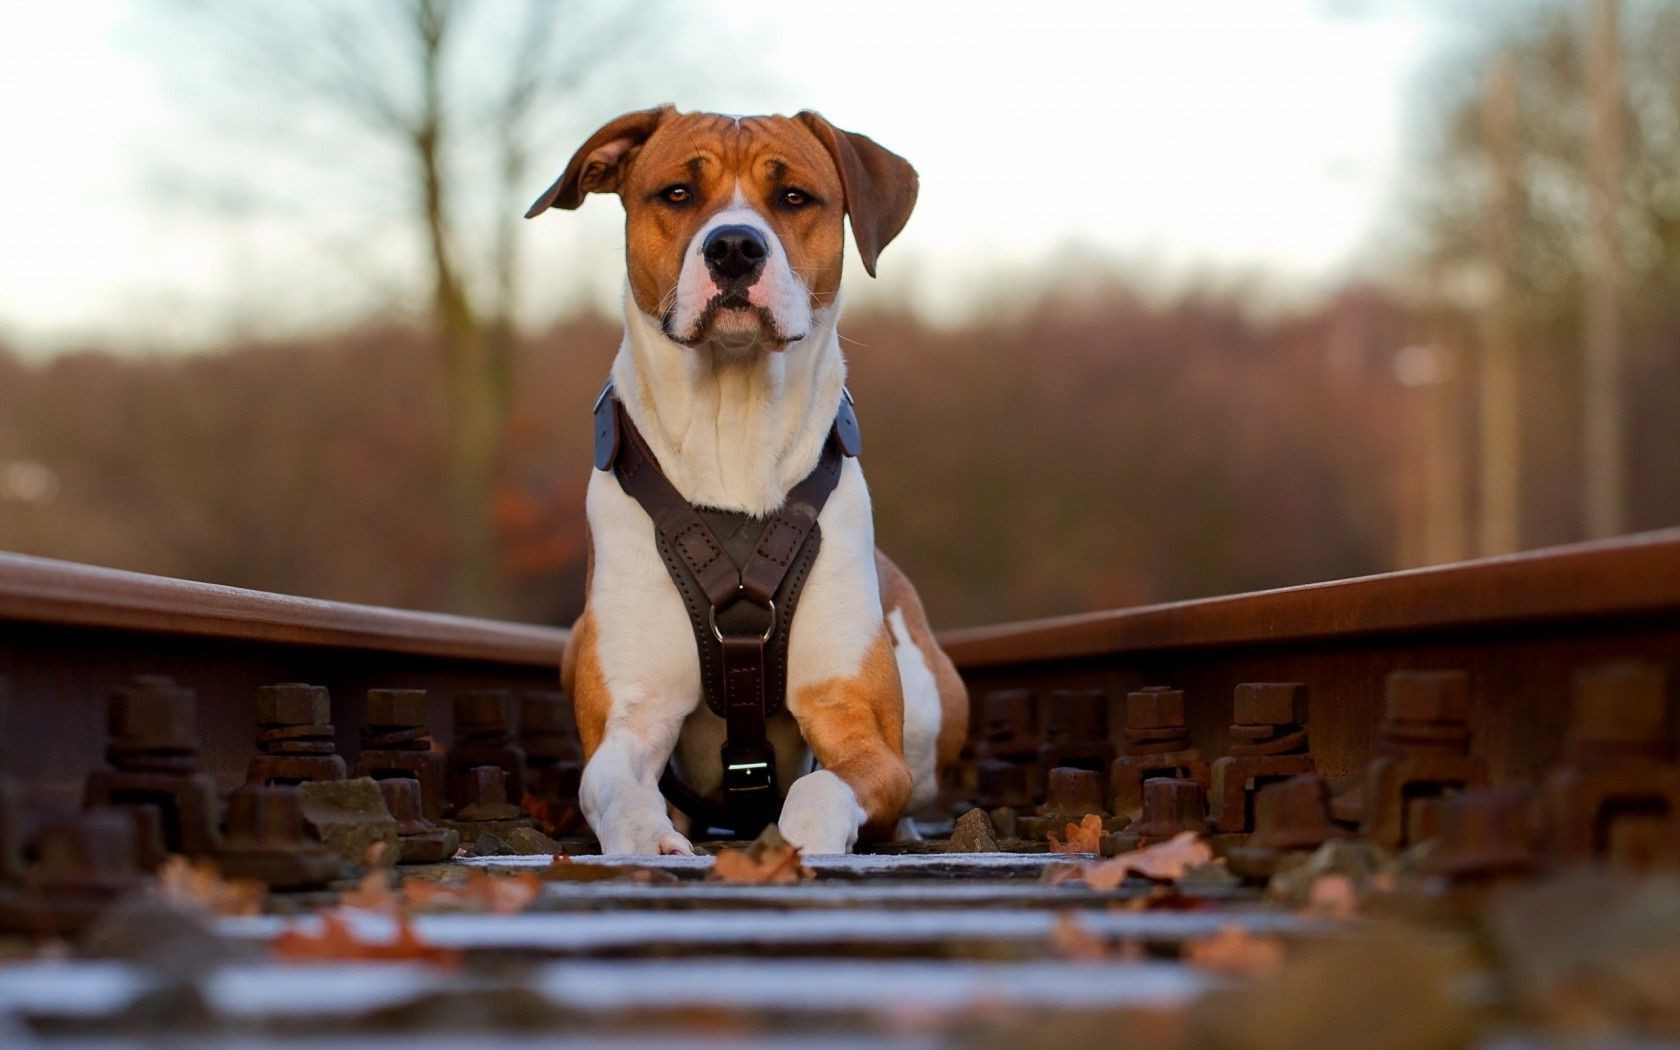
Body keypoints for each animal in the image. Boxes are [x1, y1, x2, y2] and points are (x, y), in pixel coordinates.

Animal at [524, 106, 974, 856]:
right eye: (678, 193)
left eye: (793, 197)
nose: (734, 247)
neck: (731, 428)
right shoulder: (632, 713)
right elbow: (614, 788)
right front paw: (650, 839)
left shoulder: (856, 722)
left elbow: (822, 786)